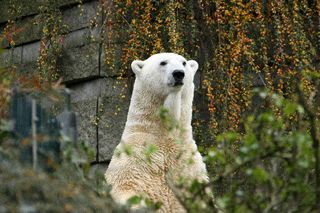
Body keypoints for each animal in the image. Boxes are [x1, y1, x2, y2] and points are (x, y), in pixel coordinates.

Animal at [105, 52, 209, 212]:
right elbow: (126, 188)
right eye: (163, 62)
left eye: (184, 63)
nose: (179, 73)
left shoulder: (187, 165)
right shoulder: (136, 158)